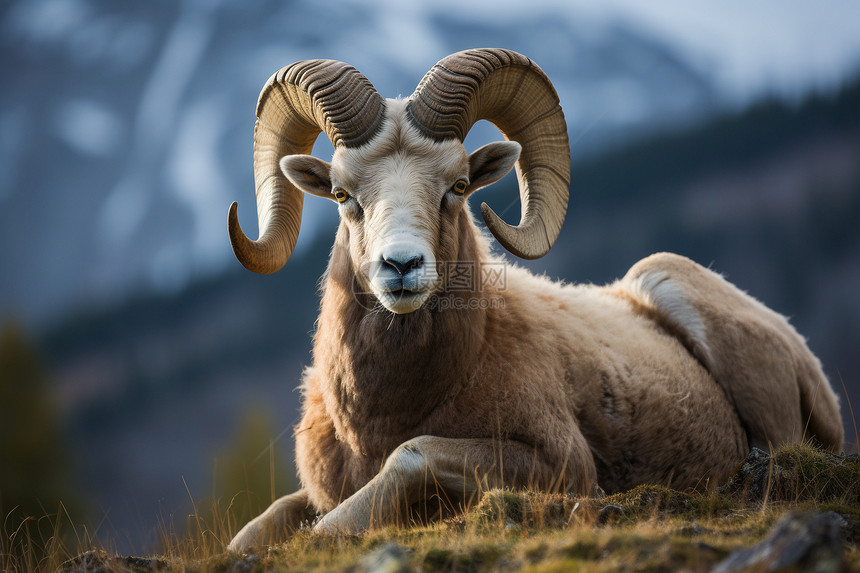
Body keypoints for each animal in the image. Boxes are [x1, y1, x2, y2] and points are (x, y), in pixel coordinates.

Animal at [225, 48, 844, 548]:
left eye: (457, 187)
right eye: (341, 193)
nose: (401, 267)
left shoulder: (558, 464)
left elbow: (407, 458)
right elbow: (252, 530)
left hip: (677, 295)